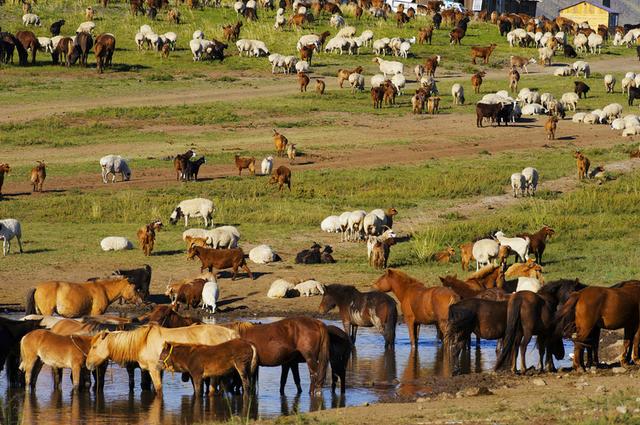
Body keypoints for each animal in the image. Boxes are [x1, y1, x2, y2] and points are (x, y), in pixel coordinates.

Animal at [82, 322, 238, 394]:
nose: (88, 364)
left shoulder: (154, 370)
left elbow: (158, 390)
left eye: (94, 347)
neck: (143, 342)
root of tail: (230, 333)